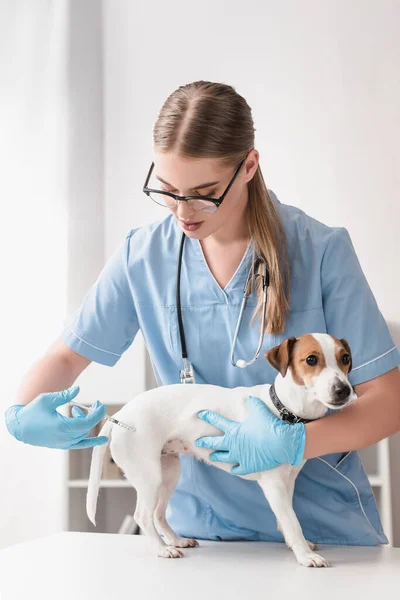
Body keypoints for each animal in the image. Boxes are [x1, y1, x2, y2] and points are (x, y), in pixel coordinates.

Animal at [86, 332, 356, 568]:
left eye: (345, 358)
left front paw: (297, 546)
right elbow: (292, 521)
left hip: (169, 474)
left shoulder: (288, 482)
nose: (344, 390)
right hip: (150, 477)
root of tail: (122, 414)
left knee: (158, 515)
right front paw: (305, 555)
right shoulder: (274, 485)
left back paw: (175, 540)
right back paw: (162, 549)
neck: (283, 411)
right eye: (311, 360)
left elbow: (285, 520)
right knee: (143, 515)